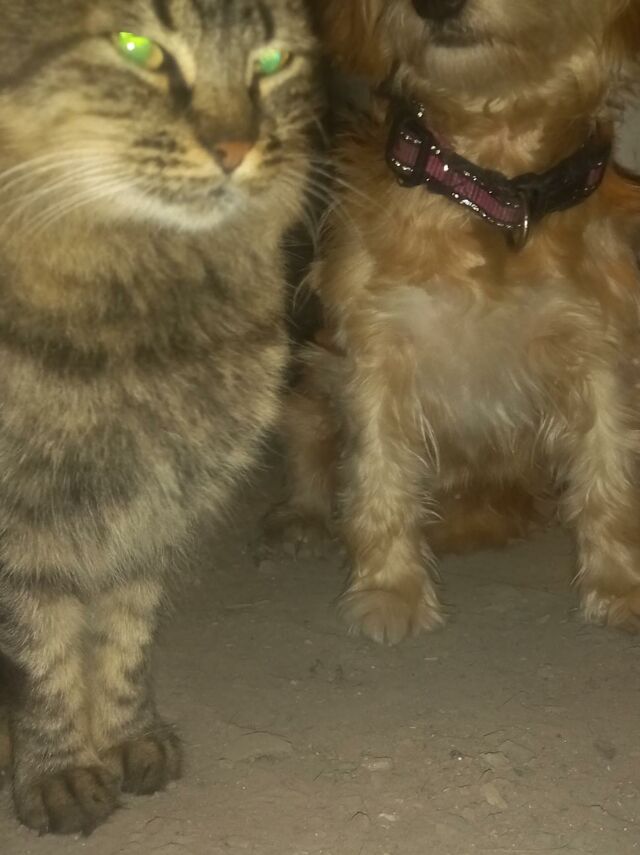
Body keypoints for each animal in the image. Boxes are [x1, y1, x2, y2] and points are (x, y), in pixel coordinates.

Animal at [0, 0, 319, 835]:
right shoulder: (23, 528)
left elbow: (122, 642)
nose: (236, 147)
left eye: (271, 62)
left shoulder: (152, 516)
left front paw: (125, 736)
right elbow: (41, 655)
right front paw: (59, 769)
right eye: (137, 47)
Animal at [274, 0, 640, 644]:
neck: (490, 191)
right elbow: (380, 474)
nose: (436, 5)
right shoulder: (377, 349)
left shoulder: (598, 349)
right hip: (312, 383)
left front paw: (619, 586)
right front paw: (390, 590)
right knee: (309, 457)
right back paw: (304, 520)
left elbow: (609, 475)